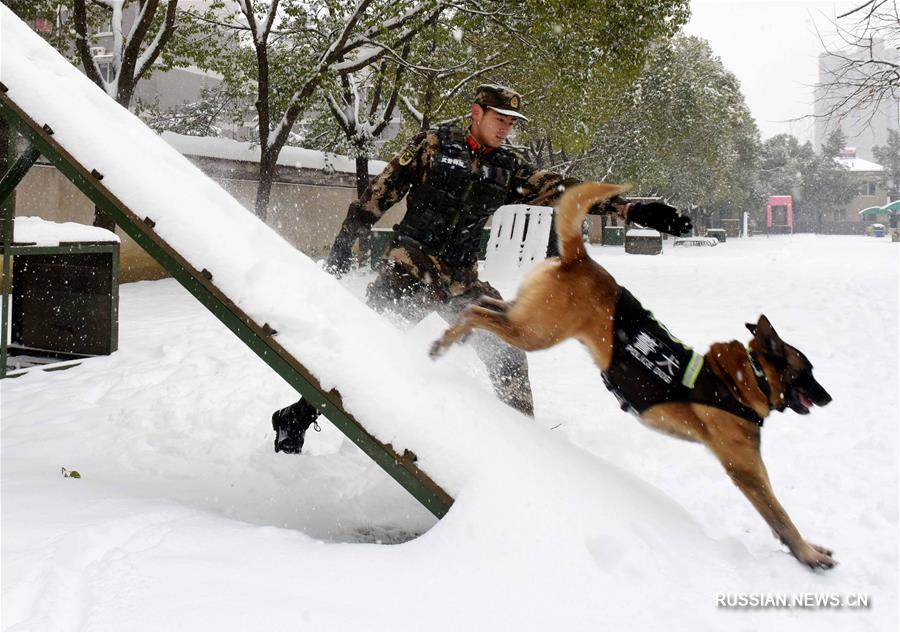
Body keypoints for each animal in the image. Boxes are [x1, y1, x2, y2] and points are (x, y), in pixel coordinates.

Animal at [430, 181, 836, 568]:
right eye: (808, 372)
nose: (829, 398)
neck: (746, 376)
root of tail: (581, 258)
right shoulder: (747, 470)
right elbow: (780, 516)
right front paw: (808, 555)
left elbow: (779, 519)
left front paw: (807, 550)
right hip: (536, 332)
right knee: (479, 315)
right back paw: (444, 342)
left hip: (526, 318)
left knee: (484, 305)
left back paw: (459, 328)